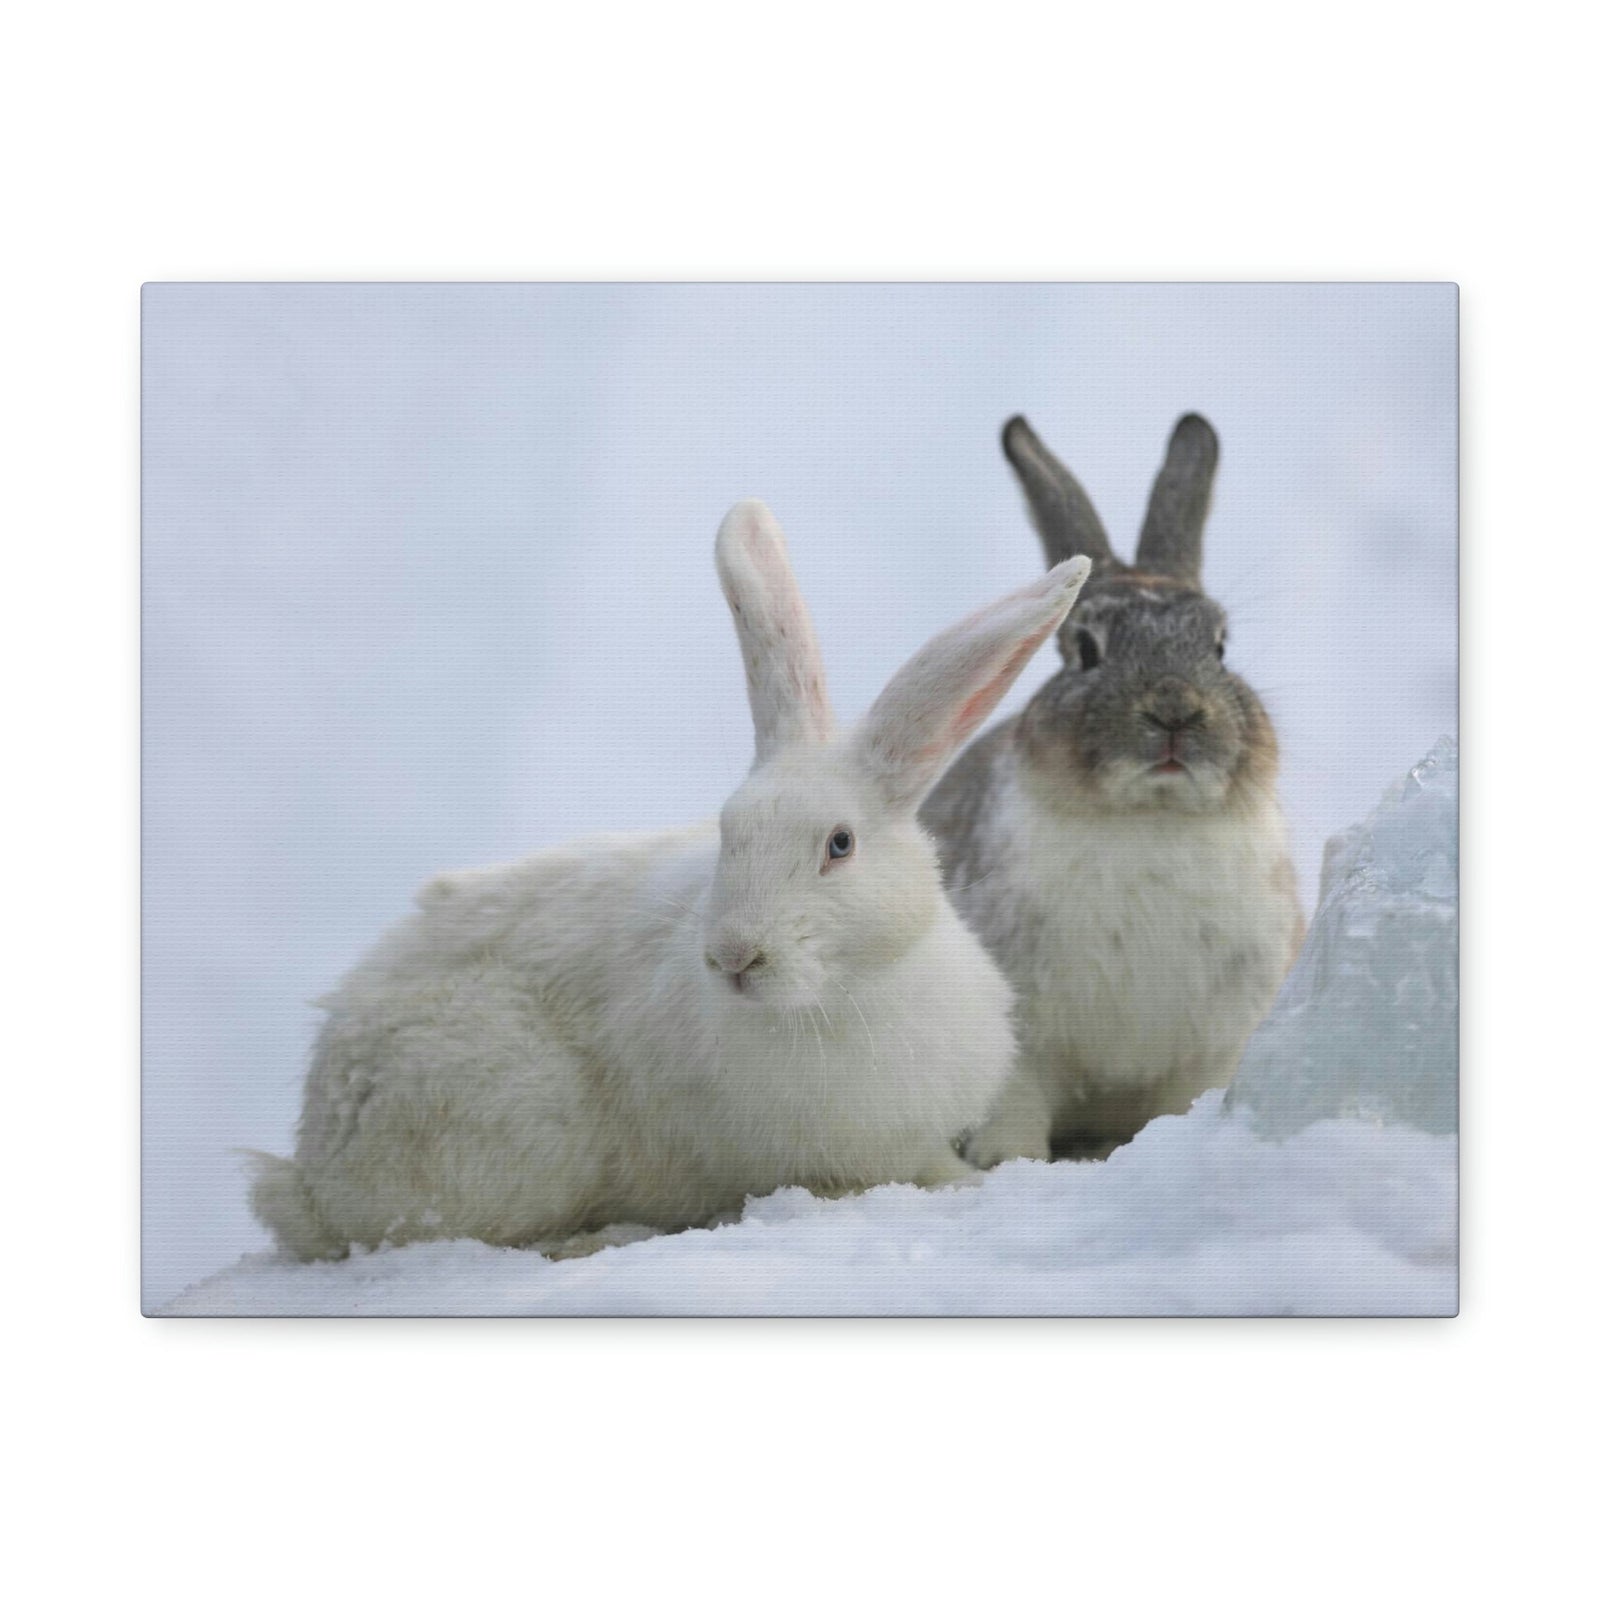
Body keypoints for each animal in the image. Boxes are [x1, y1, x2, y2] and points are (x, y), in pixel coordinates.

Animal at [920, 414, 1304, 1166]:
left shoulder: (1212, 1047)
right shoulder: (1021, 1038)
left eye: (1220, 646)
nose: (1175, 711)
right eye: (1085, 649)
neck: (1148, 816)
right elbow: (1014, 1104)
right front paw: (1007, 1163)